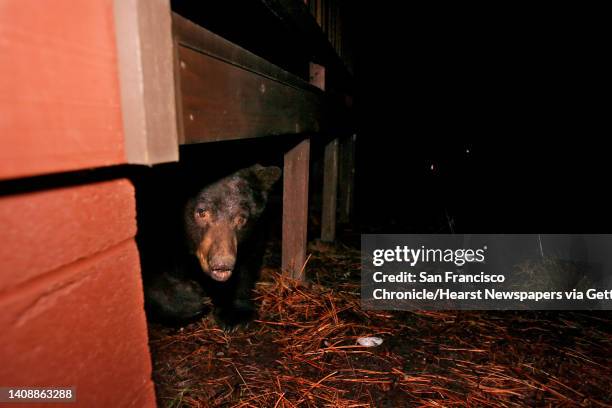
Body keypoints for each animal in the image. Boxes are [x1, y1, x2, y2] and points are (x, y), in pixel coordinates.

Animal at [142, 164, 280, 330]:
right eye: (202, 212)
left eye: (241, 219)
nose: (222, 264)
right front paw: (188, 300)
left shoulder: (254, 233)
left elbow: (247, 261)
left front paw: (235, 314)